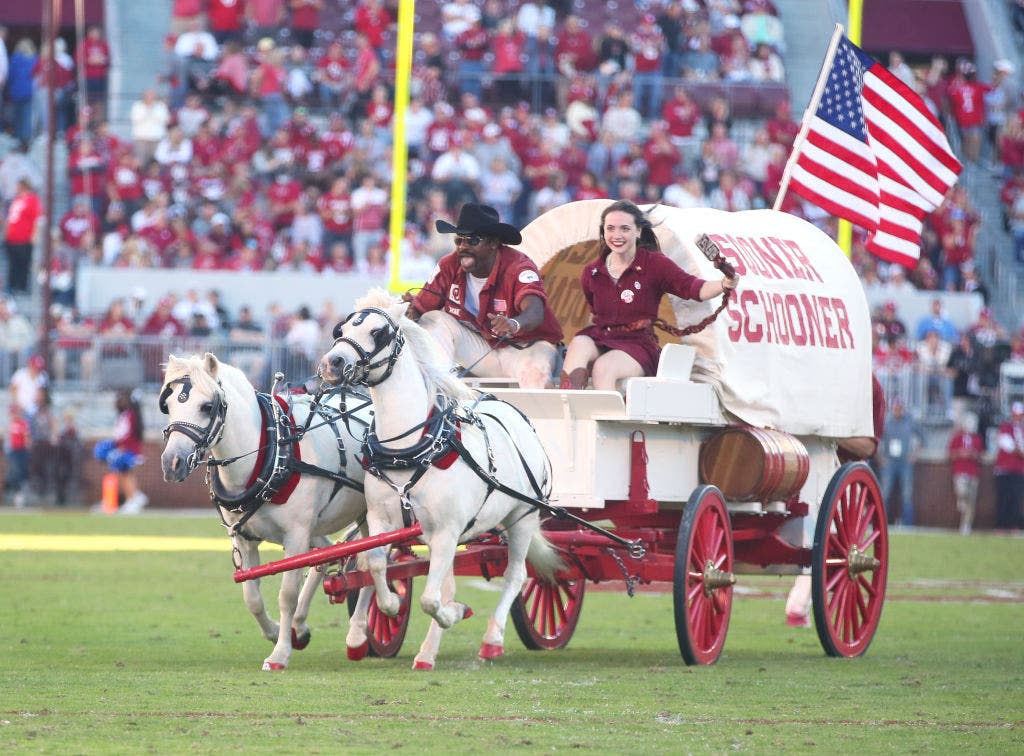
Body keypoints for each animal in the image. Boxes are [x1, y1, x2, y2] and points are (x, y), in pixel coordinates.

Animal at [161, 350, 378, 667]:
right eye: (168, 405)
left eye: (207, 406)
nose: (171, 463)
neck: (272, 451)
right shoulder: (245, 538)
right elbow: (251, 597)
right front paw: (277, 632)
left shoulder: (296, 535)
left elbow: (287, 594)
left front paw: (280, 653)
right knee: (327, 555)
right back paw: (300, 625)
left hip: (370, 514)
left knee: (371, 562)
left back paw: (359, 633)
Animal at [317, 286, 565, 663]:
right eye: (341, 329)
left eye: (379, 332)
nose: (332, 363)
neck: (410, 448)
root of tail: (513, 409)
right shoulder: (382, 522)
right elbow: (374, 565)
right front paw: (387, 608)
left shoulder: (447, 530)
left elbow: (431, 599)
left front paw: (455, 613)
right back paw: (427, 653)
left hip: (522, 517)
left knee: (516, 575)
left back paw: (491, 639)